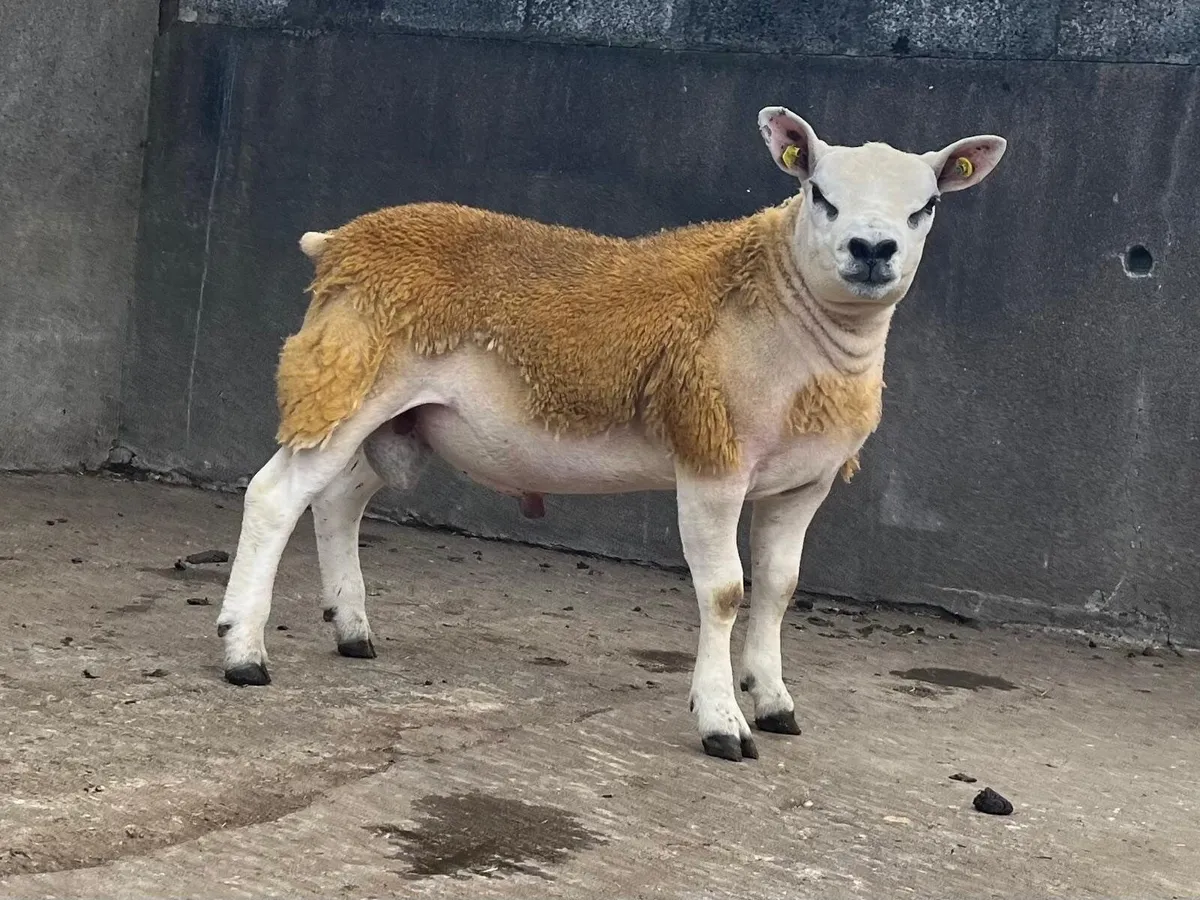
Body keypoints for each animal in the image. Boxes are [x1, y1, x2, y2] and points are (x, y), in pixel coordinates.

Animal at [215, 106, 1006, 762]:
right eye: (820, 194)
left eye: (926, 206)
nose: (872, 249)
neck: (788, 315)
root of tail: (339, 243)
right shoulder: (711, 458)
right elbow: (725, 592)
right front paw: (722, 721)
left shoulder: (803, 484)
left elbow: (779, 587)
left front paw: (775, 701)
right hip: (346, 378)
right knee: (276, 496)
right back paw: (243, 651)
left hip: (391, 414)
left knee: (338, 501)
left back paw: (351, 629)